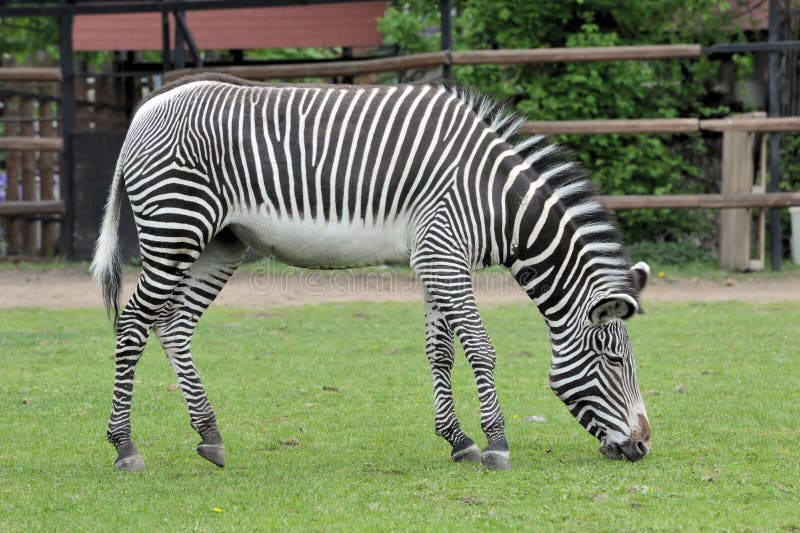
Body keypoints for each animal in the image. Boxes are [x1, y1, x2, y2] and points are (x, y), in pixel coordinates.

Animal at [92, 73, 651, 472]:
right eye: (615, 360)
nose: (644, 445)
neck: (495, 200)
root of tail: (145, 110)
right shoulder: (444, 252)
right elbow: (480, 347)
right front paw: (496, 443)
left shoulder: (437, 258)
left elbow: (441, 352)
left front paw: (458, 441)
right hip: (175, 228)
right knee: (134, 322)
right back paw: (124, 447)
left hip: (219, 242)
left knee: (174, 326)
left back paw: (209, 436)